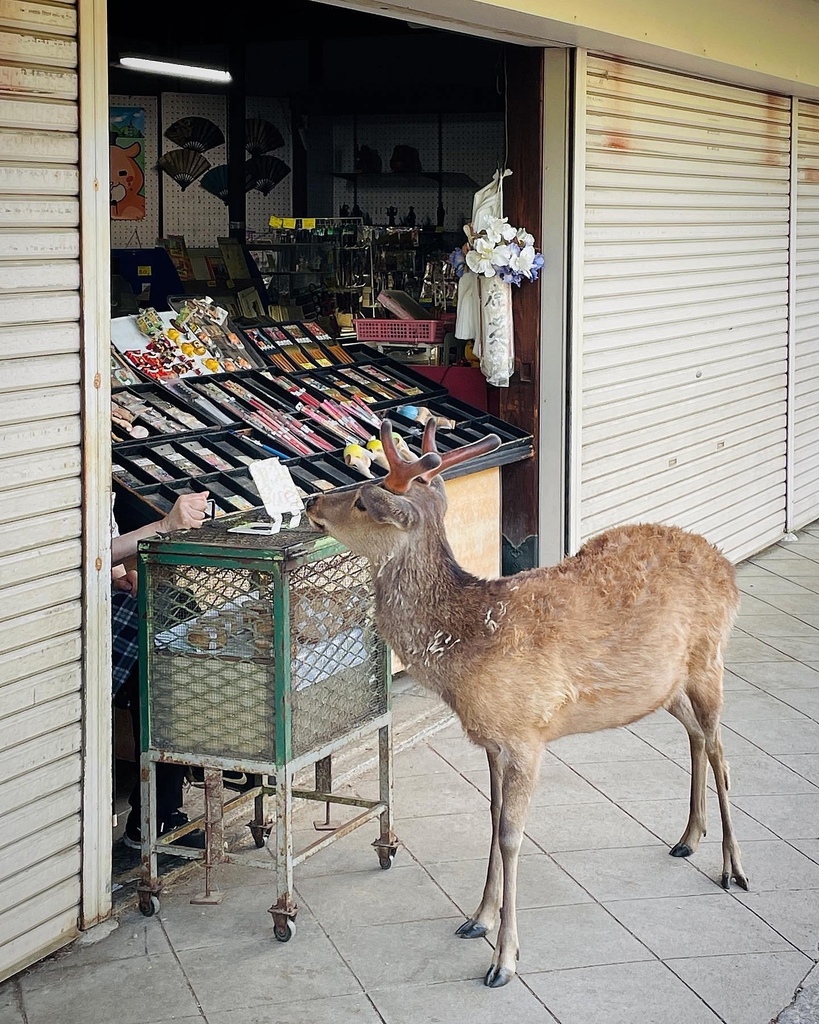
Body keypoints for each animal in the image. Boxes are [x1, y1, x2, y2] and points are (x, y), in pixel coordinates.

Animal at [305, 419, 749, 987]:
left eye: (364, 500)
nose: (313, 499)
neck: (466, 648)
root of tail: (727, 566)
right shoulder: (492, 740)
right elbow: (493, 819)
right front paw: (477, 918)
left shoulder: (527, 733)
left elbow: (513, 834)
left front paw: (504, 959)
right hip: (664, 686)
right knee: (696, 735)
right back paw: (689, 836)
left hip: (710, 659)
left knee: (721, 751)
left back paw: (733, 867)